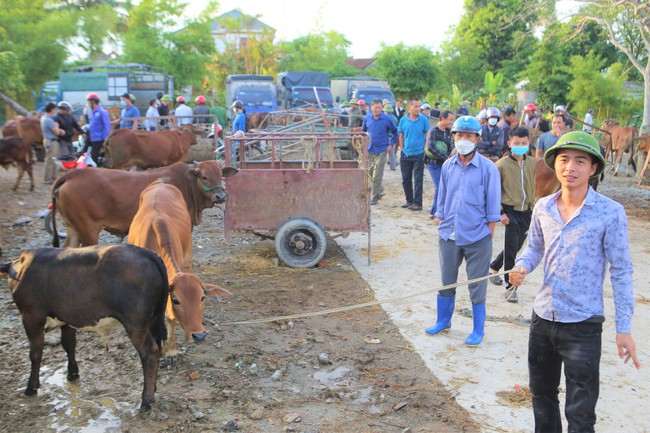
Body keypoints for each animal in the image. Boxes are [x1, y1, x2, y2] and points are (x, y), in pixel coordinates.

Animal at [0, 245, 167, 410]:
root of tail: (142, 251)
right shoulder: (66, 317)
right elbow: (68, 344)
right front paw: (72, 373)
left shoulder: (31, 316)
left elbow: (35, 352)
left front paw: (31, 387)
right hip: (153, 320)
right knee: (157, 347)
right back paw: (154, 389)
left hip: (135, 323)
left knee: (149, 353)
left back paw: (146, 400)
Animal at [51, 160, 238, 246]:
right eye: (204, 176)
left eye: (220, 174)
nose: (220, 196)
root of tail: (71, 175)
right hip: (88, 230)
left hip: (73, 228)